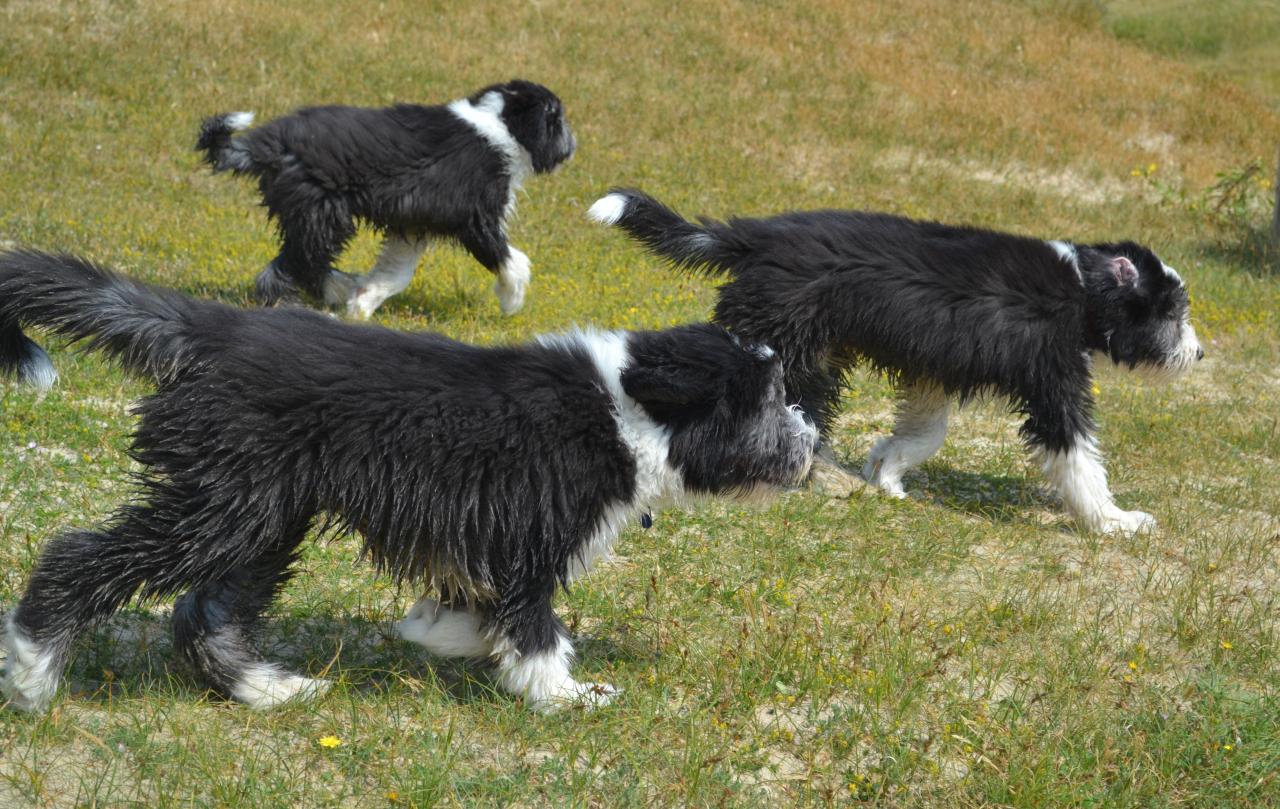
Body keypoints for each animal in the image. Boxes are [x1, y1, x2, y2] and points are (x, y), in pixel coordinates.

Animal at [0, 249, 814, 711]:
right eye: (772, 399)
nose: (812, 443)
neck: (627, 407)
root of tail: (216, 330)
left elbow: (480, 608)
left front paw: (433, 630)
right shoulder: (529, 530)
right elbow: (534, 623)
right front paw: (567, 695)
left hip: (265, 509)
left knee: (204, 611)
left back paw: (271, 689)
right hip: (226, 501)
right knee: (80, 555)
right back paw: (34, 671)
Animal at [194, 79, 576, 317]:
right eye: (557, 118)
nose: (573, 144)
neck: (499, 126)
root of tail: (270, 144)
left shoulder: (414, 224)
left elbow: (395, 273)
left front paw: (362, 304)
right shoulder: (475, 217)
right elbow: (509, 257)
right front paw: (513, 298)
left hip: (310, 213)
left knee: (301, 260)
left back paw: (341, 291)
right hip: (324, 211)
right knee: (294, 264)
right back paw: (312, 298)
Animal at [593, 186, 1203, 535]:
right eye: (1174, 310)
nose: (1198, 352)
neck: (1080, 287)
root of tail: (756, 236)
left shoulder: (934, 366)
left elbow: (925, 433)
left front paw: (886, 472)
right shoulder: (1053, 377)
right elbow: (1078, 455)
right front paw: (1113, 521)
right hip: (790, 337)